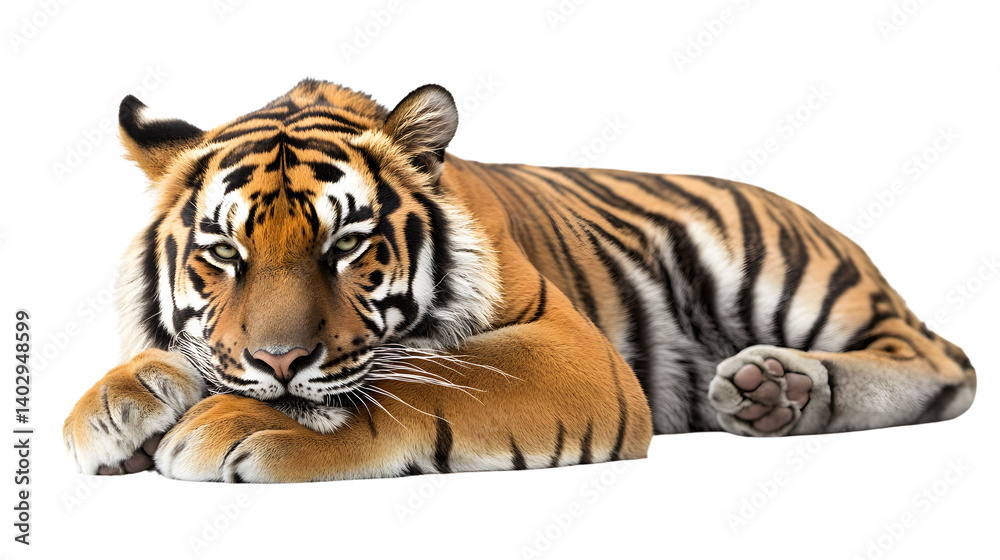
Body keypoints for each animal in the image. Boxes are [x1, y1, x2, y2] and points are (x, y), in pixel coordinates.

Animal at [63, 79, 976, 482]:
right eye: (225, 254)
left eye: (348, 244)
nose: (281, 362)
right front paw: (110, 408)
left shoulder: (571, 348)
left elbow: (428, 378)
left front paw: (234, 426)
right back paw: (768, 395)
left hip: (782, 271)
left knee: (943, 363)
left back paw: (783, 384)